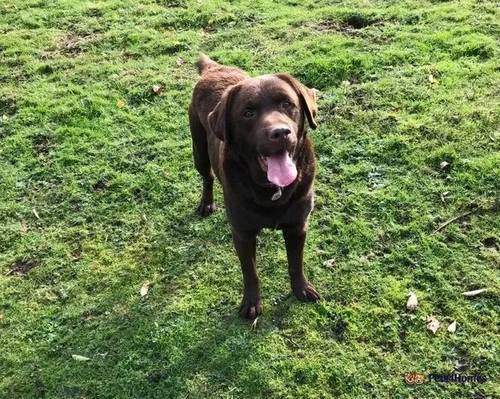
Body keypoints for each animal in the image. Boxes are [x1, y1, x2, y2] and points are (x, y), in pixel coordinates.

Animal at [188, 54, 320, 320]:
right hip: (199, 150)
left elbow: (295, 262)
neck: (272, 190)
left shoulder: (298, 226)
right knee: (207, 176)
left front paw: (301, 289)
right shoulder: (243, 233)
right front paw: (251, 303)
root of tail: (213, 68)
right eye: (248, 113)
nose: (280, 132)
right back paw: (206, 202)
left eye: (287, 104)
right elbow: (250, 272)